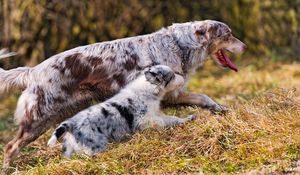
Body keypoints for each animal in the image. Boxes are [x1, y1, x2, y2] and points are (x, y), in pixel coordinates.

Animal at [48, 65, 196, 157]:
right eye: (172, 77)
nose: (183, 77)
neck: (149, 89)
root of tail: (70, 123)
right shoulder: (146, 120)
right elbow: (166, 122)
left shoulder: (155, 114)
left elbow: (172, 118)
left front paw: (188, 118)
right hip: (95, 144)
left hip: (71, 147)